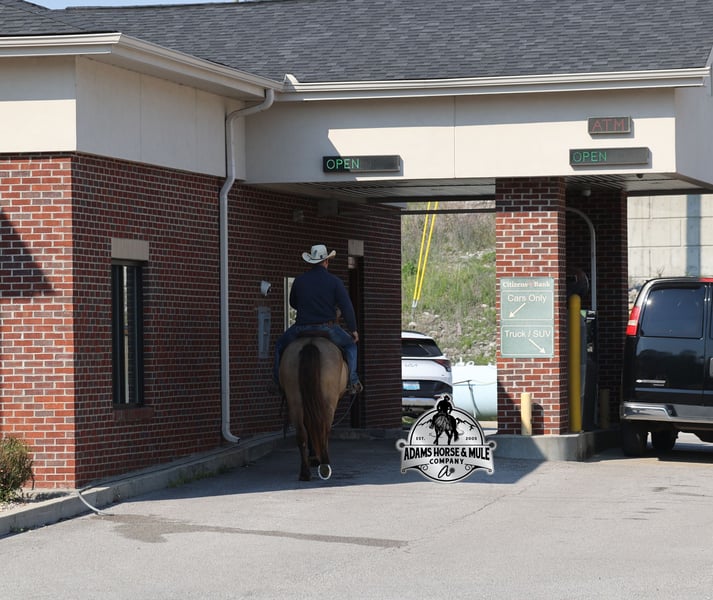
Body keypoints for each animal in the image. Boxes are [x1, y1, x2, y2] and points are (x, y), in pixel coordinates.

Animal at [279, 335, 348, 481]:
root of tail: (310, 344)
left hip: (295, 401)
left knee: (302, 433)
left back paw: (305, 472)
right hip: (328, 401)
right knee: (324, 428)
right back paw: (325, 464)